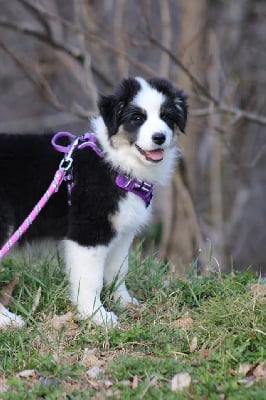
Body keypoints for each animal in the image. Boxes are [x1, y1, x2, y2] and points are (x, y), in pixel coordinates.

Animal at [0, 77, 187, 328]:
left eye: (167, 116)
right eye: (137, 118)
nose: (159, 137)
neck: (117, 163)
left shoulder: (122, 232)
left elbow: (118, 270)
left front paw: (124, 302)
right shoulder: (89, 231)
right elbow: (91, 279)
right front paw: (97, 315)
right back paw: (7, 320)